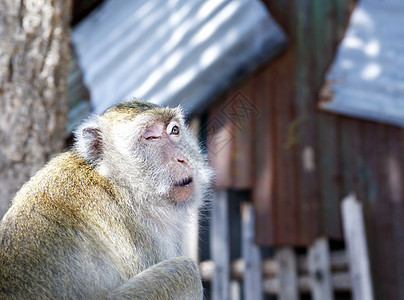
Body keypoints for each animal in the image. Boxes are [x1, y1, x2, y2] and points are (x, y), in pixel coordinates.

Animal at [0, 99, 211, 298]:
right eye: (151, 137)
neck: (117, 183)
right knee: (184, 271)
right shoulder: (140, 232)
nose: (182, 159)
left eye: (175, 130)